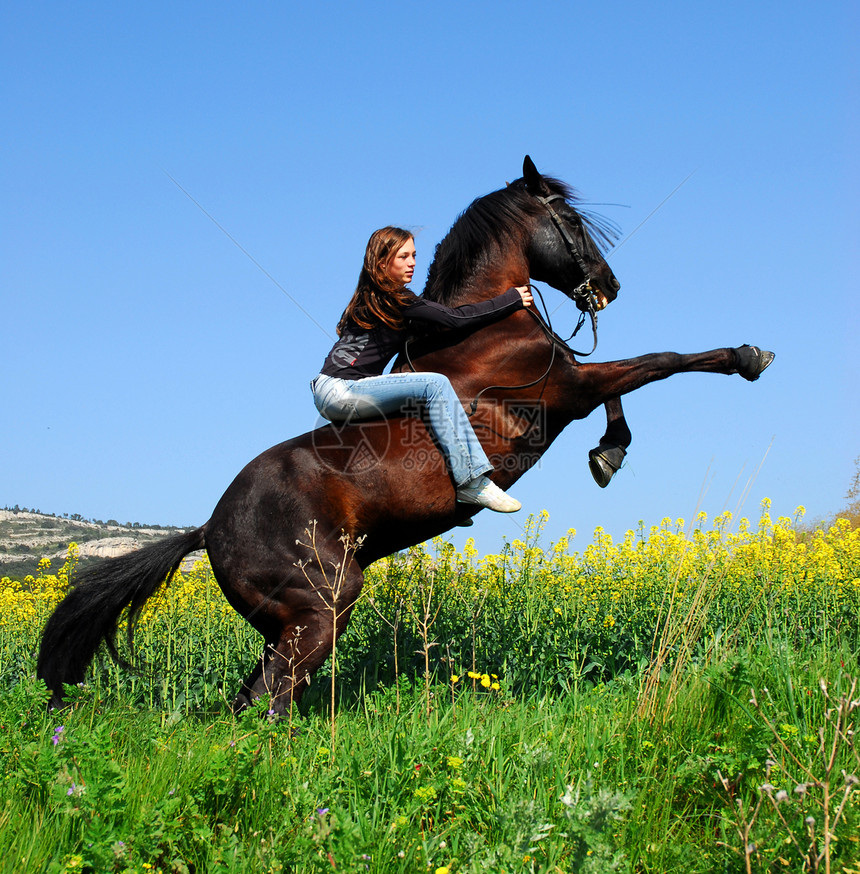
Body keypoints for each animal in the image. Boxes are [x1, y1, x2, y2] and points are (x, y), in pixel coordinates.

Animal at [37, 158, 772, 716]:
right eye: (570, 223)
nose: (609, 287)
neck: (483, 328)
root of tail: (208, 530)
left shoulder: (572, 384)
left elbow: (627, 383)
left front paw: (608, 454)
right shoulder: (565, 389)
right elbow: (660, 362)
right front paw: (747, 356)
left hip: (289, 623)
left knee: (251, 700)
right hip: (321, 608)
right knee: (273, 699)